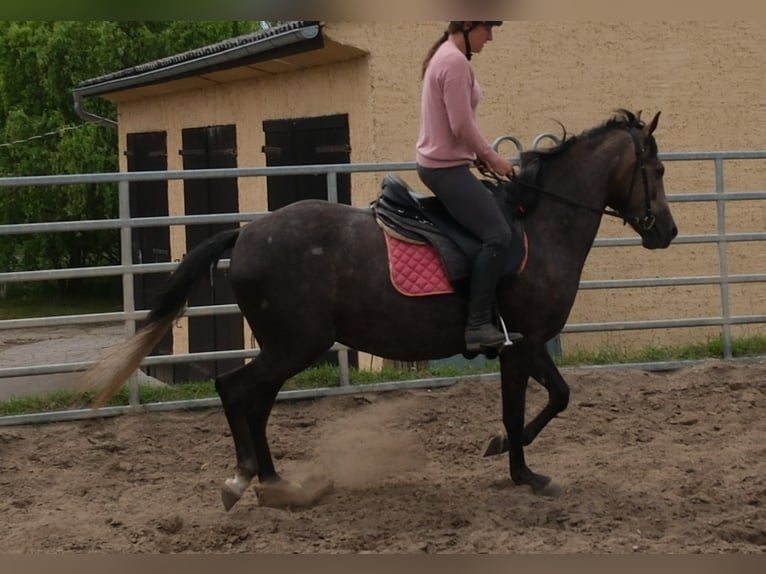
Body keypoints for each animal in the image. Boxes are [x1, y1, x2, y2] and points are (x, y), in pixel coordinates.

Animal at [84, 109, 678, 511]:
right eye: (658, 170)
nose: (667, 232)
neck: (542, 225)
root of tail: (248, 232)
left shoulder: (528, 344)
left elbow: (557, 396)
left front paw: (503, 452)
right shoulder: (522, 343)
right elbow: (533, 404)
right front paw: (522, 471)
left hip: (288, 346)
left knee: (256, 401)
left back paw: (278, 483)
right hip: (297, 344)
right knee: (236, 391)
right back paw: (244, 479)